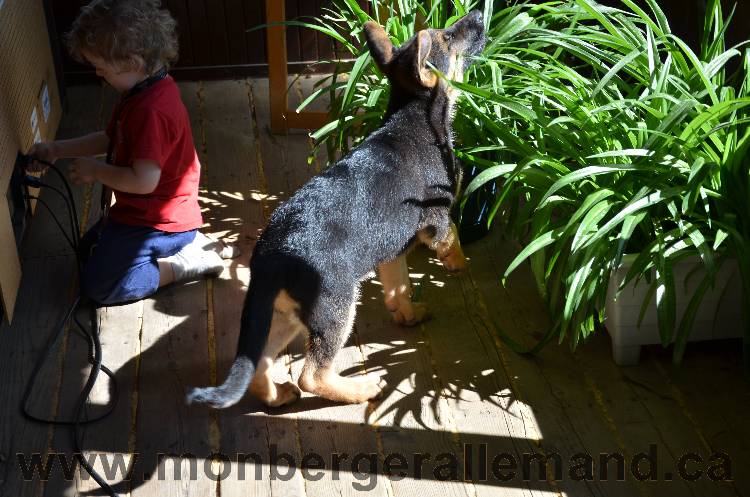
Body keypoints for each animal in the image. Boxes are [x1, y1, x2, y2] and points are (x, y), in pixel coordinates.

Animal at [188, 11, 488, 406]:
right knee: (312, 375)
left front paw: (408, 315)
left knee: (260, 362)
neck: (412, 116)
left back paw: (276, 395)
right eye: (449, 37)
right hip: (335, 307)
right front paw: (459, 264)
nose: (479, 15)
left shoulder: (391, 251)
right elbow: (450, 236)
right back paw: (361, 389)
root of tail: (270, 257)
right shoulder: (435, 217)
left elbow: (399, 288)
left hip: (285, 314)